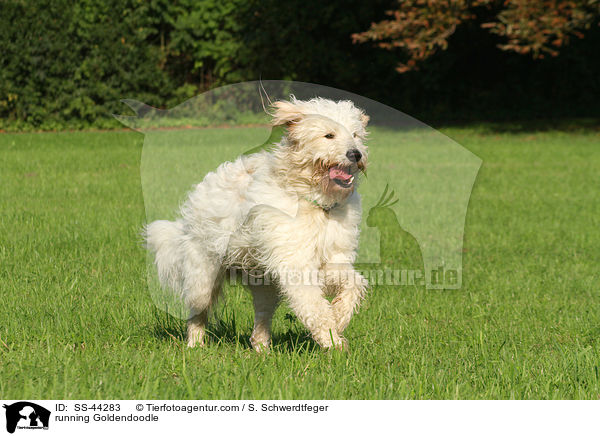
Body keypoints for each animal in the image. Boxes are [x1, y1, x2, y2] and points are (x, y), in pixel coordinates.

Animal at [145, 96, 370, 350]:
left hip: (265, 285)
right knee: (197, 312)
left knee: (261, 319)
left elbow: (354, 284)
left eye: (355, 134)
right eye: (329, 135)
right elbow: (314, 306)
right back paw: (195, 345)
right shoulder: (296, 264)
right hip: (202, 278)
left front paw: (339, 317)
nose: (356, 154)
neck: (315, 203)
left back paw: (262, 349)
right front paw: (332, 341)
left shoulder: (333, 260)